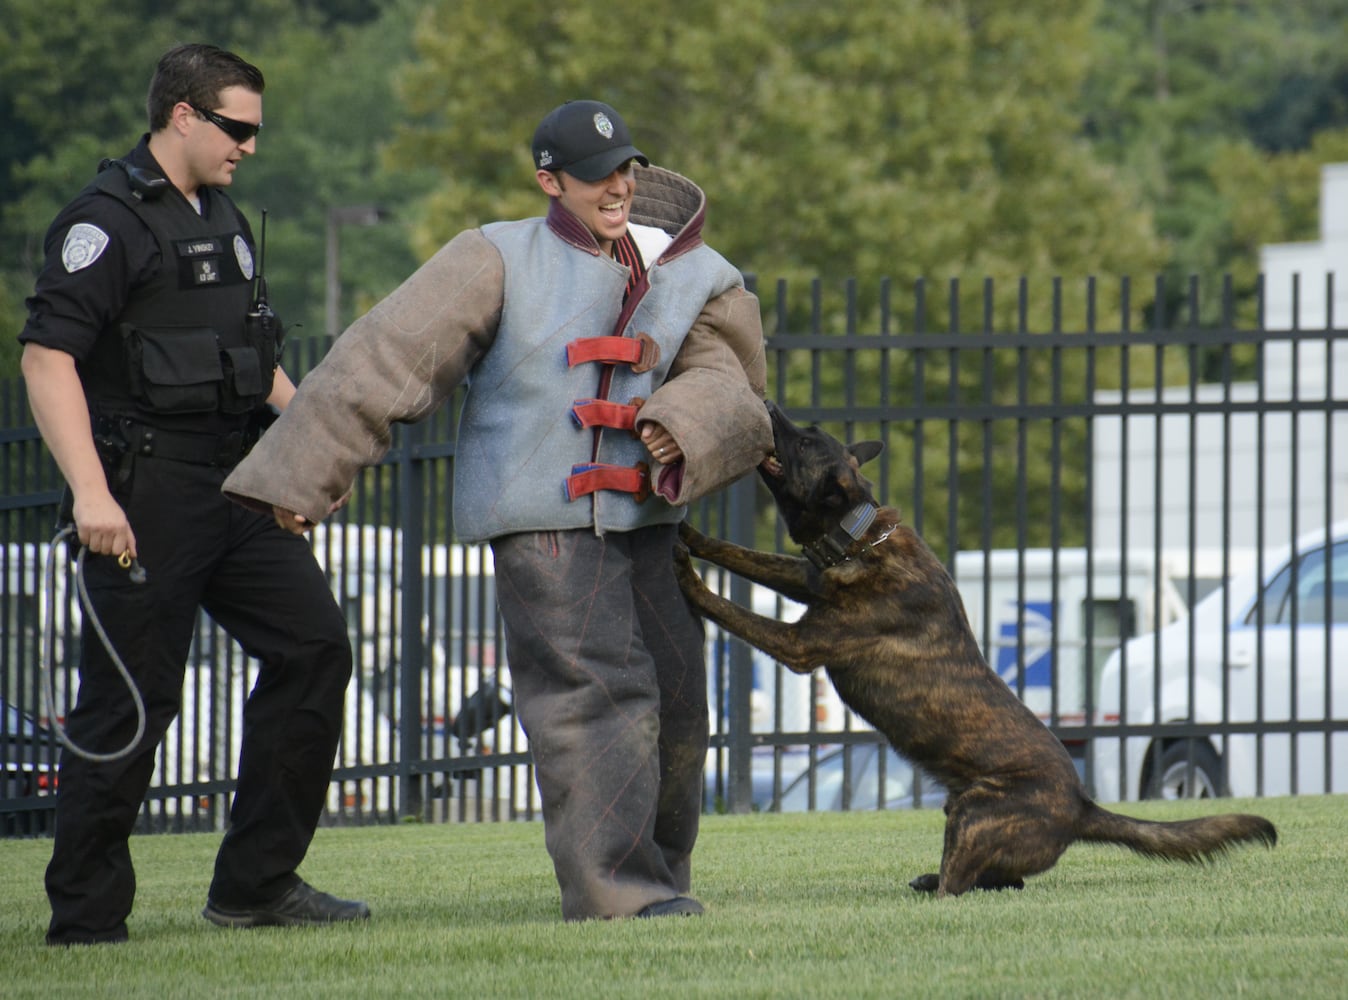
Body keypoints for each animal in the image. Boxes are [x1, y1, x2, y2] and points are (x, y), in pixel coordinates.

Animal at [674, 401, 1272, 900]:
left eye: (801, 442)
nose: (770, 403)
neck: (860, 537)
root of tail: (1083, 807)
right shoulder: (803, 579)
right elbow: (742, 555)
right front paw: (693, 538)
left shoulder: (800, 645)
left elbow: (733, 611)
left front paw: (689, 579)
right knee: (1004, 883)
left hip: (972, 816)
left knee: (960, 889)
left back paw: (931, 887)